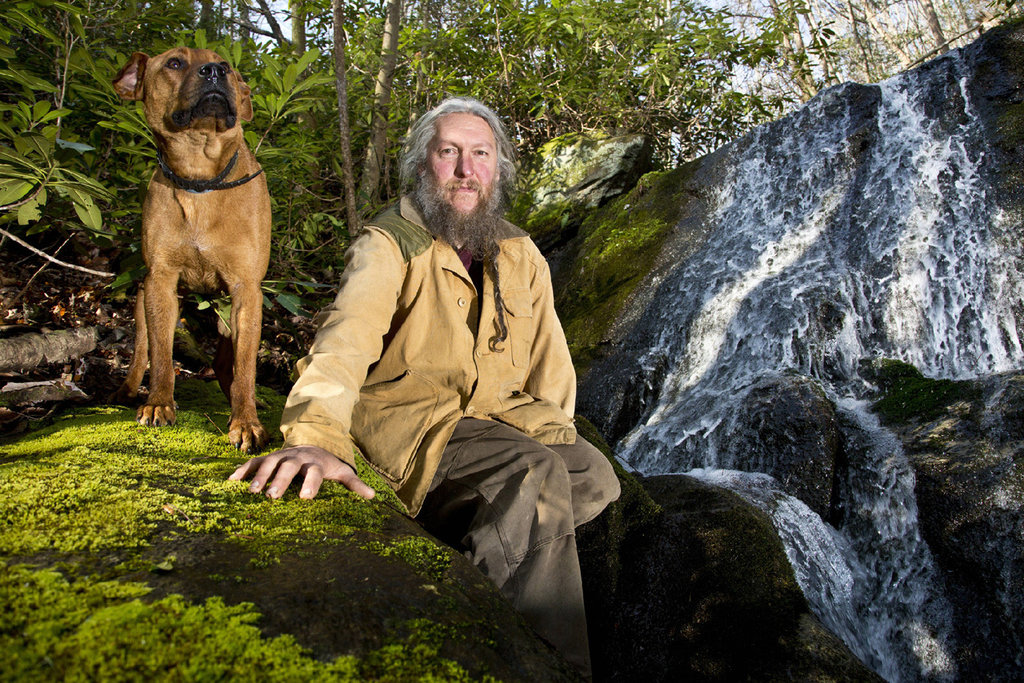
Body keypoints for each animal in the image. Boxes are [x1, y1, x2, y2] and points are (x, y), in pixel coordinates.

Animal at [113, 48, 270, 454]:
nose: (215, 71)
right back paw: (129, 388)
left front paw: (245, 422)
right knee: (142, 347)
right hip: (143, 296)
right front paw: (158, 403)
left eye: (227, 65)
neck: (201, 180)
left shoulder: (247, 290)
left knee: (227, 363)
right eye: (174, 63)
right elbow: (161, 356)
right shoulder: (161, 281)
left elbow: (245, 368)